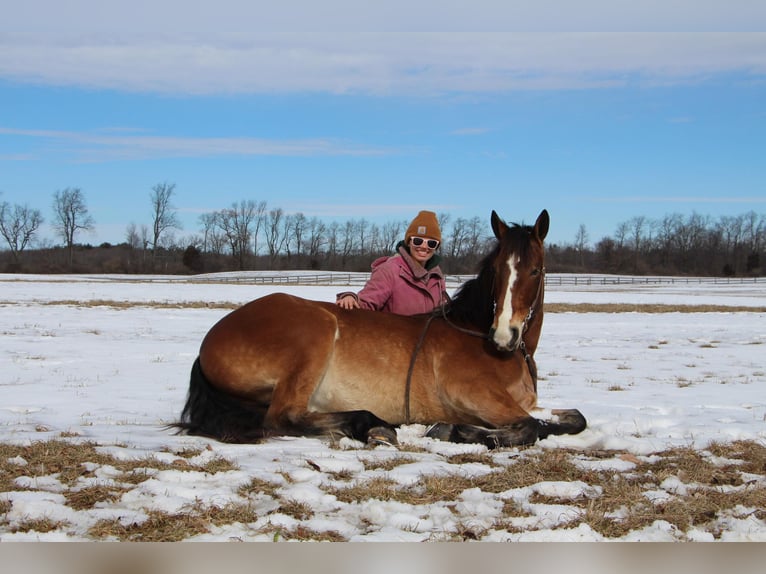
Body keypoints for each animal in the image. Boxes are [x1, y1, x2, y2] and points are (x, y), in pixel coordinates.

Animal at [177, 212, 588, 450]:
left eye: (535, 270)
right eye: (499, 270)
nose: (504, 335)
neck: (477, 336)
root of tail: (212, 338)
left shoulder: (523, 403)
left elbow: (572, 418)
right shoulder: (478, 396)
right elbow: (531, 427)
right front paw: (454, 431)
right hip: (314, 337)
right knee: (282, 417)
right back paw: (372, 426)